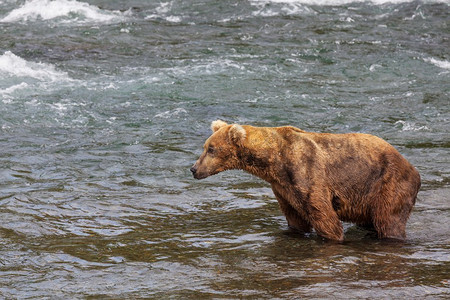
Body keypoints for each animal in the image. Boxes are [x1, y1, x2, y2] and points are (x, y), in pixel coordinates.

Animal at [191, 120, 422, 241]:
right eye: (205, 147)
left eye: (211, 149)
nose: (193, 169)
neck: (274, 160)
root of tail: (413, 167)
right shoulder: (283, 188)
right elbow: (295, 217)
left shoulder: (306, 172)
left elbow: (324, 216)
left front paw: (333, 236)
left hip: (388, 184)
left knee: (388, 220)